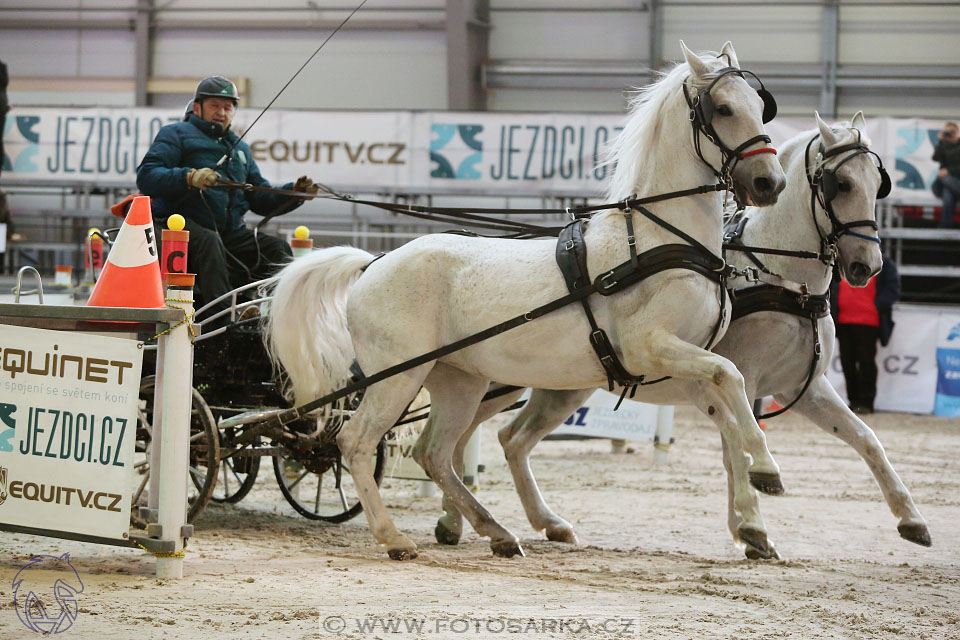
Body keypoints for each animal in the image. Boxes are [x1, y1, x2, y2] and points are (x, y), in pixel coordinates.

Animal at [264, 41, 788, 560]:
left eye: (760, 105)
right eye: (723, 109)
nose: (771, 183)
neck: (660, 239)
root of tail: (374, 261)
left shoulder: (687, 360)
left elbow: (729, 411)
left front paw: (752, 517)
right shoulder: (652, 348)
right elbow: (732, 376)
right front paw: (767, 472)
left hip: (460, 382)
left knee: (434, 452)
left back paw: (497, 531)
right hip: (399, 376)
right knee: (357, 442)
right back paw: (395, 537)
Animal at [434, 112, 928, 556]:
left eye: (878, 183)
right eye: (840, 184)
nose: (867, 266)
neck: (778, 276)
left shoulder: (802, 388)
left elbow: (866, 439)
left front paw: (911, 519)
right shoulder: (732, 377)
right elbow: (737, 446)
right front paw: (752, 525)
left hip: (558, 387)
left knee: (505, 439)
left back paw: (527, 523)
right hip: (492, 382)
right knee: (457, 441)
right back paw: (460, 520)